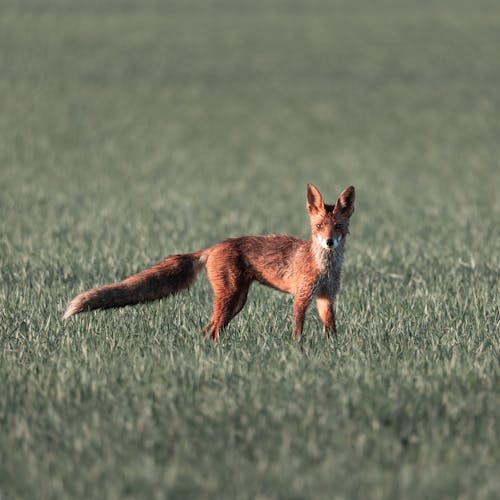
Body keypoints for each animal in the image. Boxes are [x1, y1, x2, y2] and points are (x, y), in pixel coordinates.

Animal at [64, 186, 356, 342]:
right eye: (318, 226)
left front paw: (332, 352)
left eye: (338, 227)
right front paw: (297, 351)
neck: (325, 267)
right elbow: (297, 330)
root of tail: (213, 246)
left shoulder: (326, 297)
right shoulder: (301, 296)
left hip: (237, 301)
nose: (329, 242)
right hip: (230, 297)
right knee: (212, 329)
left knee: (208, 330)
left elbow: (331, 329)